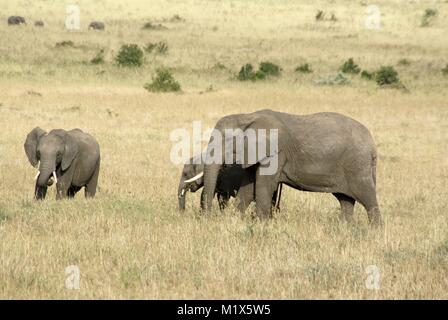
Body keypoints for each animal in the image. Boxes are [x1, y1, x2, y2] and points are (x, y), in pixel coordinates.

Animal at [201, 110, 384, 228]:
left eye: (225, 141)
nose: (207, 218)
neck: (247, 116)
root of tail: (372, 144)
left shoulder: (276, 152)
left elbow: (263, 186)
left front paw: (261, 226)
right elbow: (248, 189)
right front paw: (235, 221)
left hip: (357, 165)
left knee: (367, 197)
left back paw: (375, 232)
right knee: (345, 200)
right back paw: (344, 230)